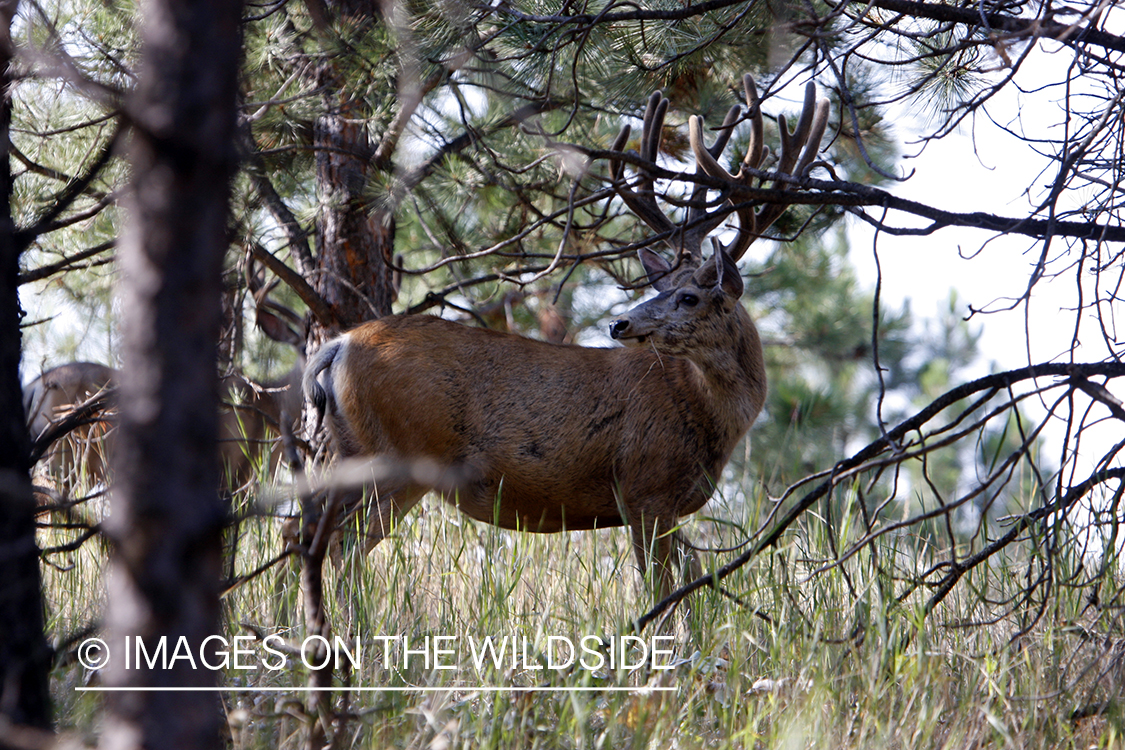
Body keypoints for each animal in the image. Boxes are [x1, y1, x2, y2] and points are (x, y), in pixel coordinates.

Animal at [302, 74, 829, 599]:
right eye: (666, 290)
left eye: (687, 297)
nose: (620, 324)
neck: (707, 413)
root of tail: (339, 344)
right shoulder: (644, 489)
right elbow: (664, 593)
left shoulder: (666, 505)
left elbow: (693, 583)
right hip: (401, 454)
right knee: (344, 546)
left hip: (353, 450)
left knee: (314, 536)